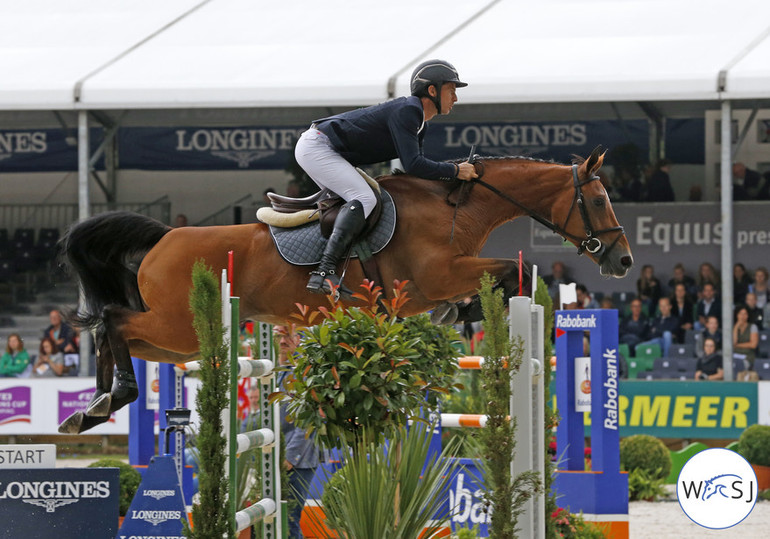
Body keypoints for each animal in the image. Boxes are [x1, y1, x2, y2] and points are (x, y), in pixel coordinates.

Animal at [60, 147, 632, 434]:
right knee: (113, 319)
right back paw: (113, 398)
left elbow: (507, 277)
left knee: (117, 333)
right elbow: (520, 269)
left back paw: (93, 407)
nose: (623, 261)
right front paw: (471, 309)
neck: (455, 207)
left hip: (175, 342)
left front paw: (462, 314)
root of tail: (164, 235)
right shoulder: (438, 275)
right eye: (599, 200)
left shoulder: (434, 285)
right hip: (178, 326)